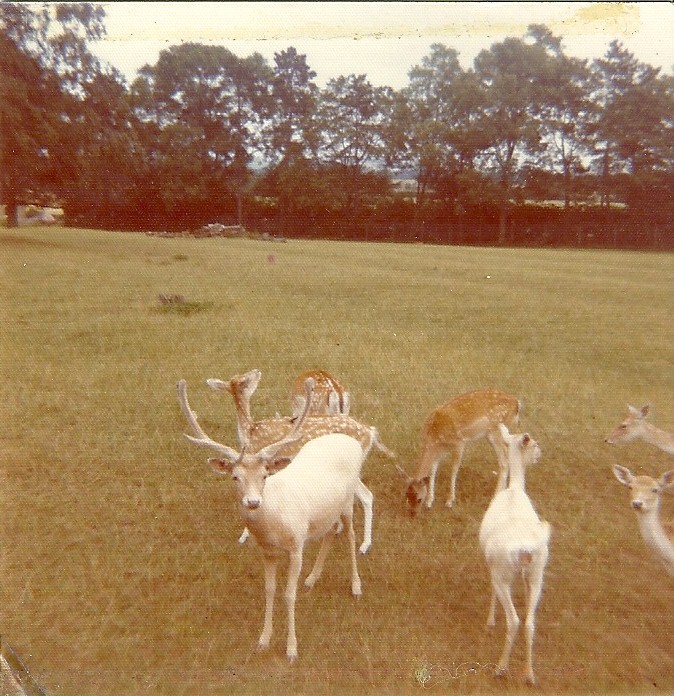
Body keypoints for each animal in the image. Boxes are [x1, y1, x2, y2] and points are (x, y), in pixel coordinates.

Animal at [178, 377, 366, 662]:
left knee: (350, 533)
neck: (274, 523)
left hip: (348, 499)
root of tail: (350, 441)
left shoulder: (297, 545)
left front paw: (291, 649)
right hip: (327, 509)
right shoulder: (266, 551)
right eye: (235, 476)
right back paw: (312, 578)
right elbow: (270, 590)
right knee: (330, 531)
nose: (253, 502)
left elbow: (288, 594)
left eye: (265, 475)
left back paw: (355, 586)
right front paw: (263, 640)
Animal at [205, 368, 395, 553]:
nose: (256, 371)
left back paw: (364, 545)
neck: (250, 432)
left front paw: (245, 535)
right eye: (243, 378)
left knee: (367, 496)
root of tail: (370, 432)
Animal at [479, 424, 550, 686]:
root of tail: (525, 551)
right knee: (529, 623)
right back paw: (529, 675)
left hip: (505, 575)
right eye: (535, 443)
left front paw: (490, 621)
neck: (514, 490)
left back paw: (500, 668)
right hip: (537, 575)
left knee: (515, 621)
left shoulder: (493, 569)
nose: (540, 454)